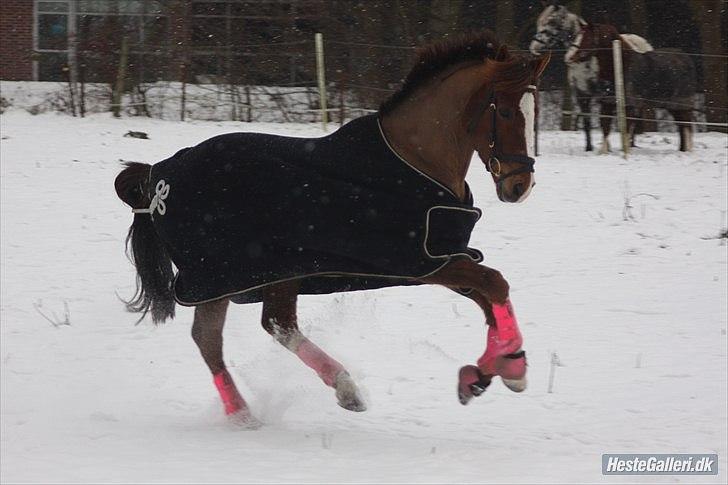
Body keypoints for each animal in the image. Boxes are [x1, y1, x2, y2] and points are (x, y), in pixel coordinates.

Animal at [114, 31, 550, 425]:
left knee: (265, 326)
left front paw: (487, 373)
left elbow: (489, 297)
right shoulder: (420, 262)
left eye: (535, 110)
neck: (415, 161)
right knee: (220, 338)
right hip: (222, 274)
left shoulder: (446, 257)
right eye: (506, 112)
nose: (519, 186)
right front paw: (510, 370)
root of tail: (160, 174)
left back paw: (324, 395)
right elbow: (495, 284)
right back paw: (262, 412)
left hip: (270, 272)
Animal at [529, 3, 653, 153]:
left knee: (633, 117)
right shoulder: (582, 94)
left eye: (551, 22)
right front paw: (589, 147)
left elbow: (604, 121)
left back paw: (629, 143)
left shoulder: (603, 94)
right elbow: (587, 121)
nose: (534, 47)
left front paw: (604, 148)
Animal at [573, 23, 696, 152]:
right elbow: (605, 128)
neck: (620, 67)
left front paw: (625, 151)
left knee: (686, 125)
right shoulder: (607, 103)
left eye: (587, 38)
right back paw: (683, 149)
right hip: (673, 106)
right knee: (682, 125)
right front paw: (603, 153)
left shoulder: (629, 106)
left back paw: (688, 150)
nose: (573, 57)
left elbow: (626, 130)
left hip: (682, 104)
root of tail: (687, 59)